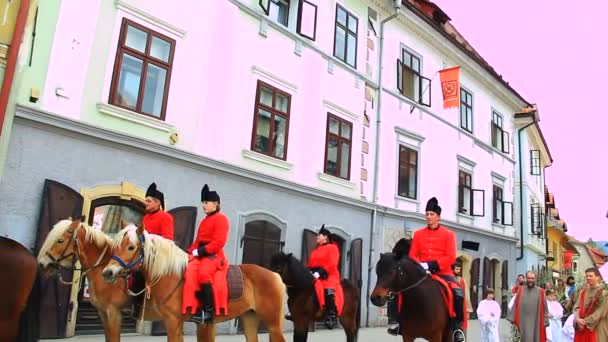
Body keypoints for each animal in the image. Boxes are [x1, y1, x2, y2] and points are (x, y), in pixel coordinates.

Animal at [102, 224, 288, 342]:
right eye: (116, 246)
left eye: (131, 247)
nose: (108, 272)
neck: (171, 274)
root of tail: (274, 275)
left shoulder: (173, 322)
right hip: (249, 317)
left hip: (272, 324)